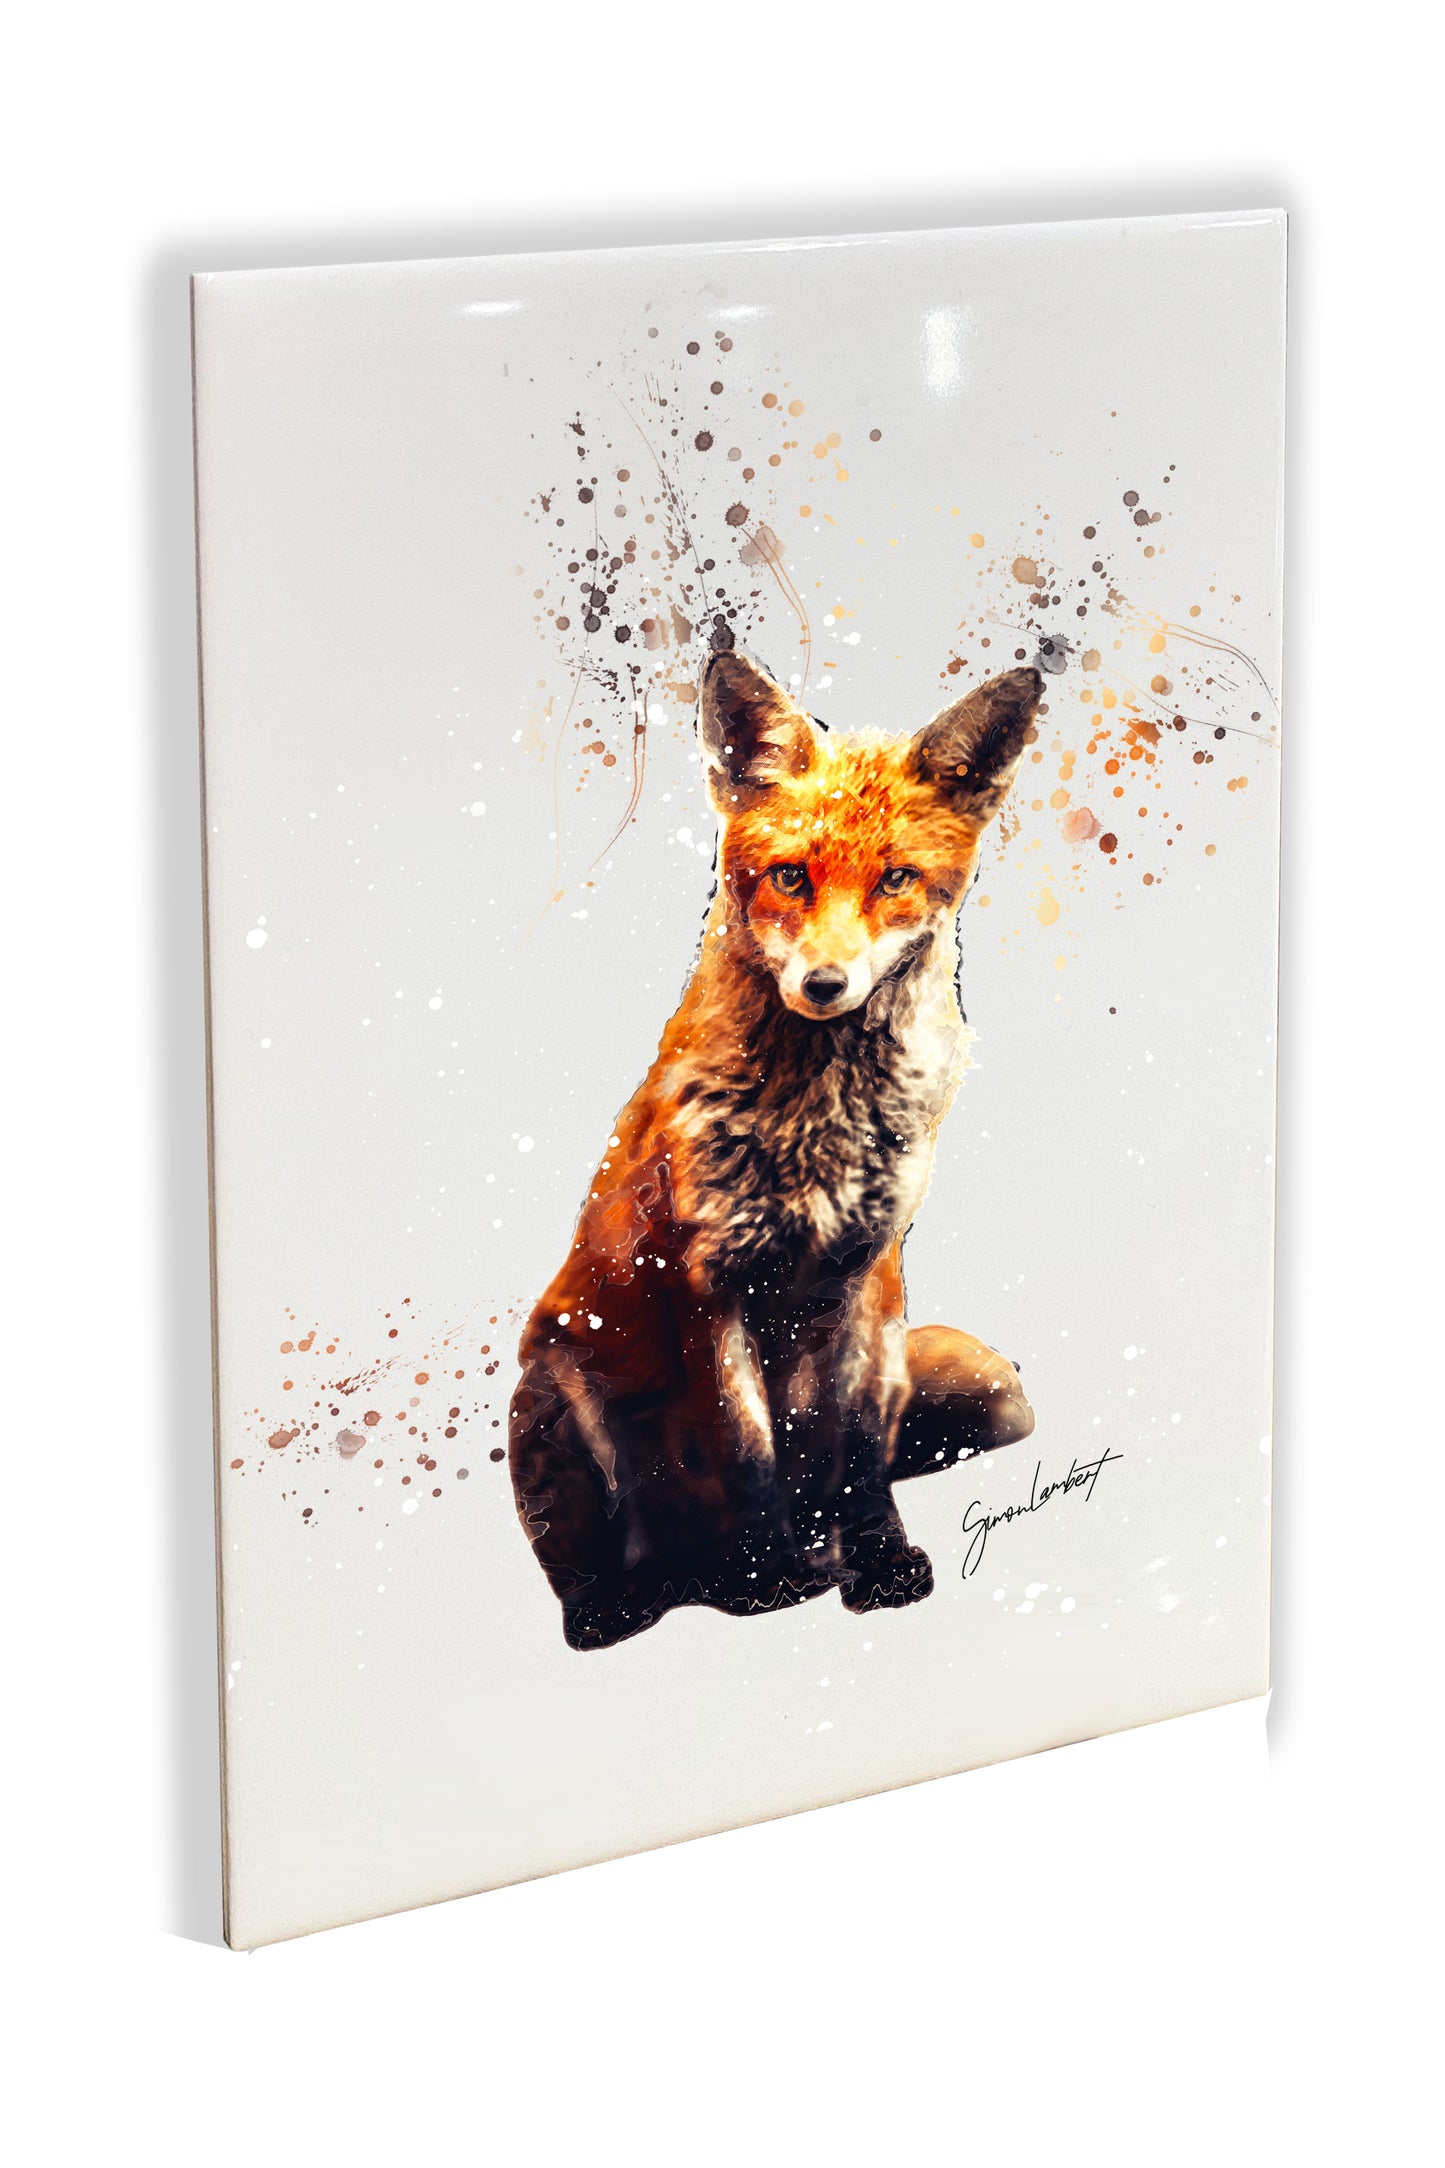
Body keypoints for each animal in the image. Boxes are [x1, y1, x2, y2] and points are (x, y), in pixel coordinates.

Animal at [509, 642, 1041, 1650]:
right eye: (790, 876)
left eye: (894, 879)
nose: (825, 984)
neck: (817, 1127)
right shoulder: (703, 1277)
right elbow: (747, 1446)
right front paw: (765, 1579)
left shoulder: (872, 1272)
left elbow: (861, 1450)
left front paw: (875, 1560)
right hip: (548, 1392)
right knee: (588, 1575)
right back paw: (633, 1597)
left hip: (988, 1389)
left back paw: (817, 1550)